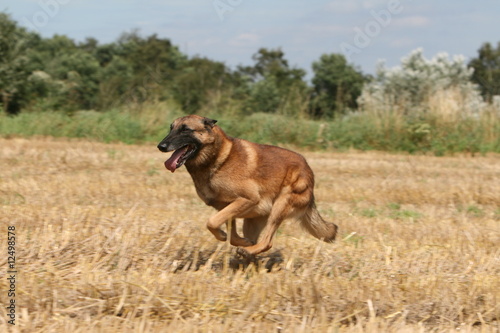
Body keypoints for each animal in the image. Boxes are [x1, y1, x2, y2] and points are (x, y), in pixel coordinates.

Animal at [158, 114, 338, 256]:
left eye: (185, 130)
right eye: (171, 128)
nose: (161, 146)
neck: (219, 159)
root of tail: (308, 169)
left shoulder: (247, 199)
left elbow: (212, 222)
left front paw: (223, 236)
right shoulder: (225, 207)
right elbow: (231, 235)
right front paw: (237, 240)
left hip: (279, 207)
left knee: (267, 242)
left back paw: (248, 251)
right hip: (253, 221)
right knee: (257, 240)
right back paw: (248, 252)